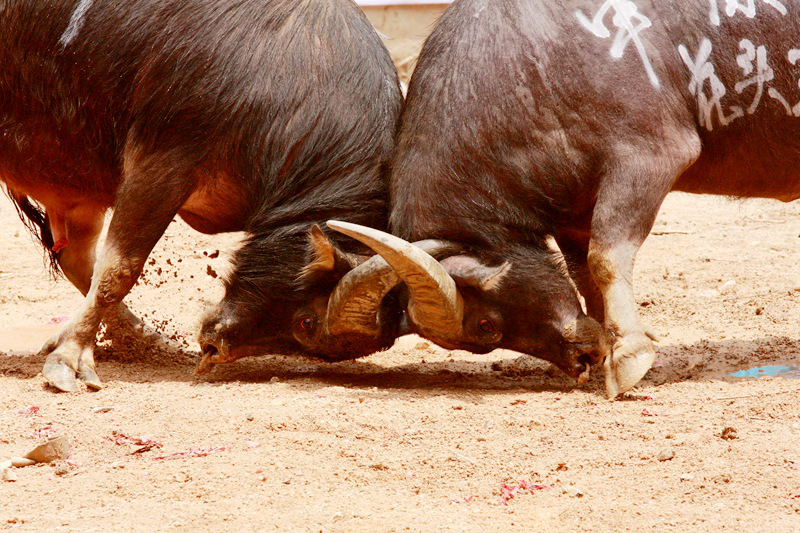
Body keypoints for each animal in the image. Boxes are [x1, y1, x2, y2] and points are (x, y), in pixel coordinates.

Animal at [0, 0, 400, 390]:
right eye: (306, 323)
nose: (215, 348)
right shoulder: (162, 165)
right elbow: (119, 269)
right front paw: (70, 358)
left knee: (75, 256)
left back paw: (142, 337)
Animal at [326, 0, 800, 396]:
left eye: (486, 326)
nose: (582, 359)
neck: (534, 73)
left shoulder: (650, 157)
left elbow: (607, 258)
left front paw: (628, 356)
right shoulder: (574, 211)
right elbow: (584, 273)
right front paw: (611, 347)